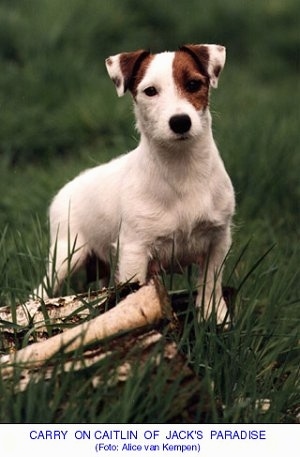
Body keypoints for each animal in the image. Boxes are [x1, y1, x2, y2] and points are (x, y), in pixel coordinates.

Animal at [35, 42, 236, 320]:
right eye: (150, 91)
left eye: (194, 84)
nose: (180, 122)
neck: (181, 168)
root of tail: (65, 189)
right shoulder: (134, 250)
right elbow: (132, 293)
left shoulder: (218, 240)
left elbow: (211, 286)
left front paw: (215, 317)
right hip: (66, 253)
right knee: (41, 290)